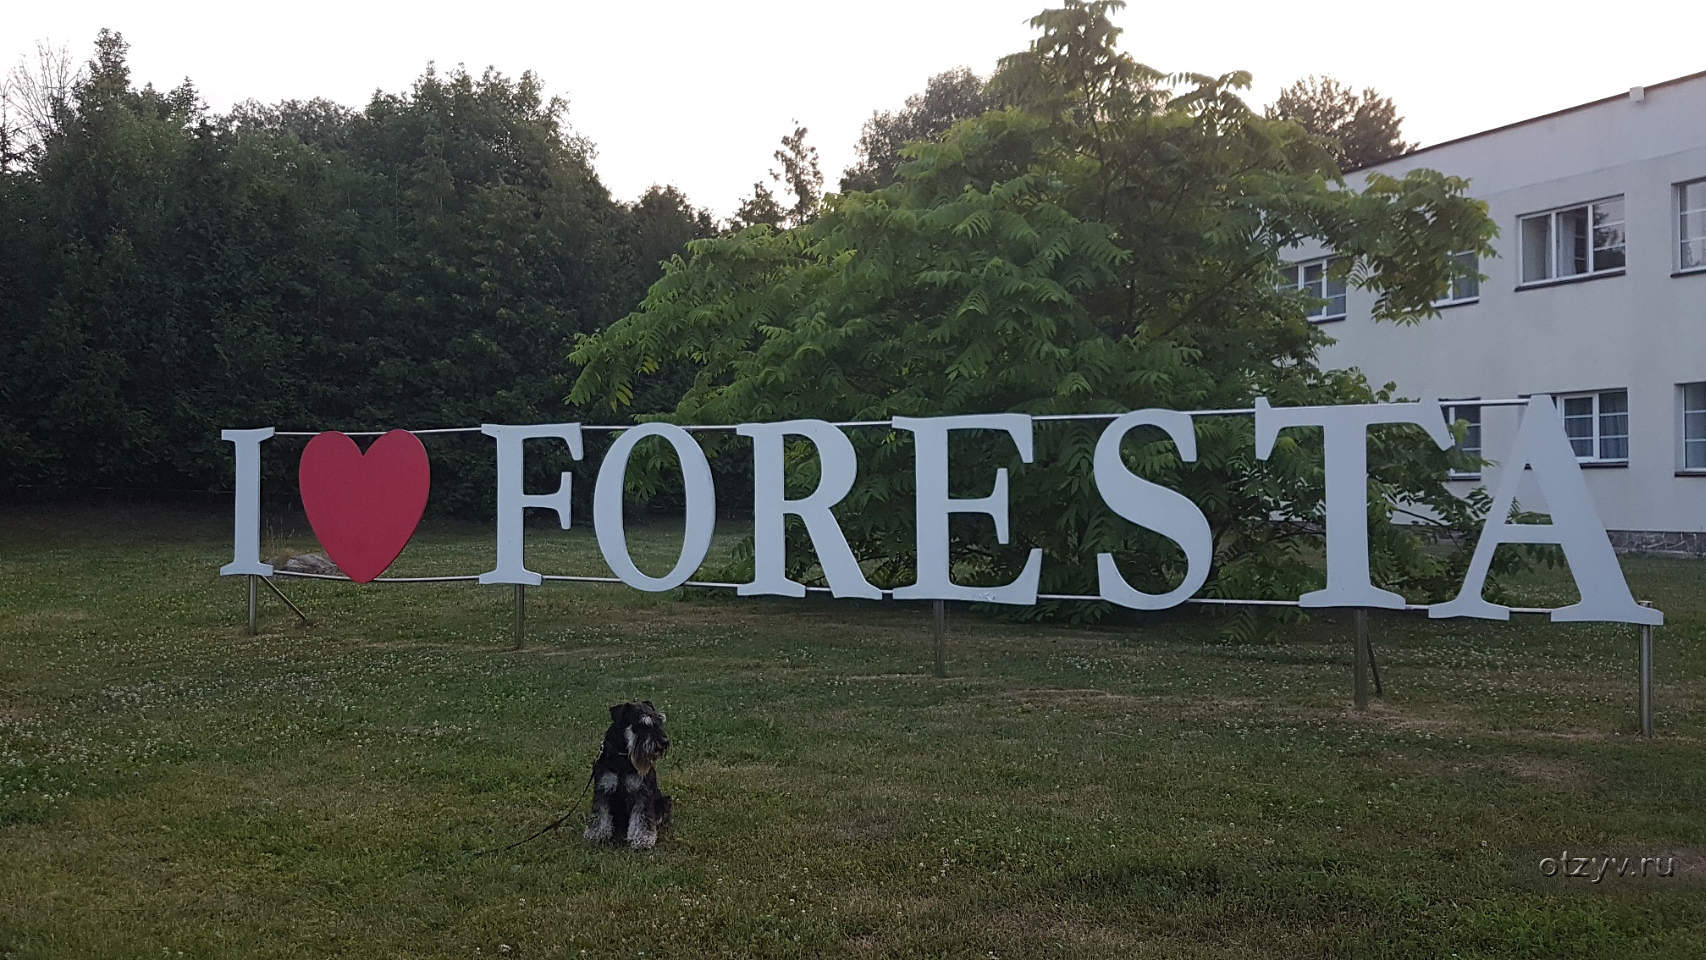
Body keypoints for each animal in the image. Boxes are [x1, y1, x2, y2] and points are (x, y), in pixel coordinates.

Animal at [583, 702, 668, 852]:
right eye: (643, 724)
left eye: (659, 721)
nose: (664, 742)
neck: (623, 755)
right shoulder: (603, 789)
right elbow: (600, 813)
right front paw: (597, 834)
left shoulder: (642, 793)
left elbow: (642, 818)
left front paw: (642, 839)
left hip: (663, 801)